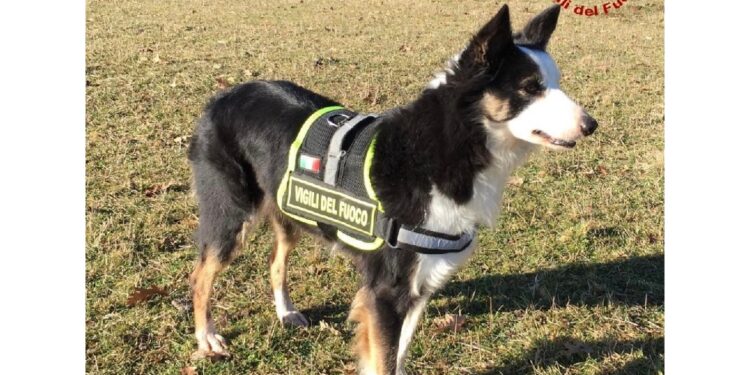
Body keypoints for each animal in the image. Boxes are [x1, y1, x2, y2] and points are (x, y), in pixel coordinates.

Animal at [187, 3, 600, 375]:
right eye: (530, 88)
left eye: (555, 83)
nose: (591, 125)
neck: (447, 146)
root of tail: (223, 96)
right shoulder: (386, 291)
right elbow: (384, 359)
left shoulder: (418, 284)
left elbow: (396, 356)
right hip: (230, 216)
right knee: (201, 275)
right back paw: (207, 338)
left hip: (288, 210)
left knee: (275, 262)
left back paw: (286, 312)